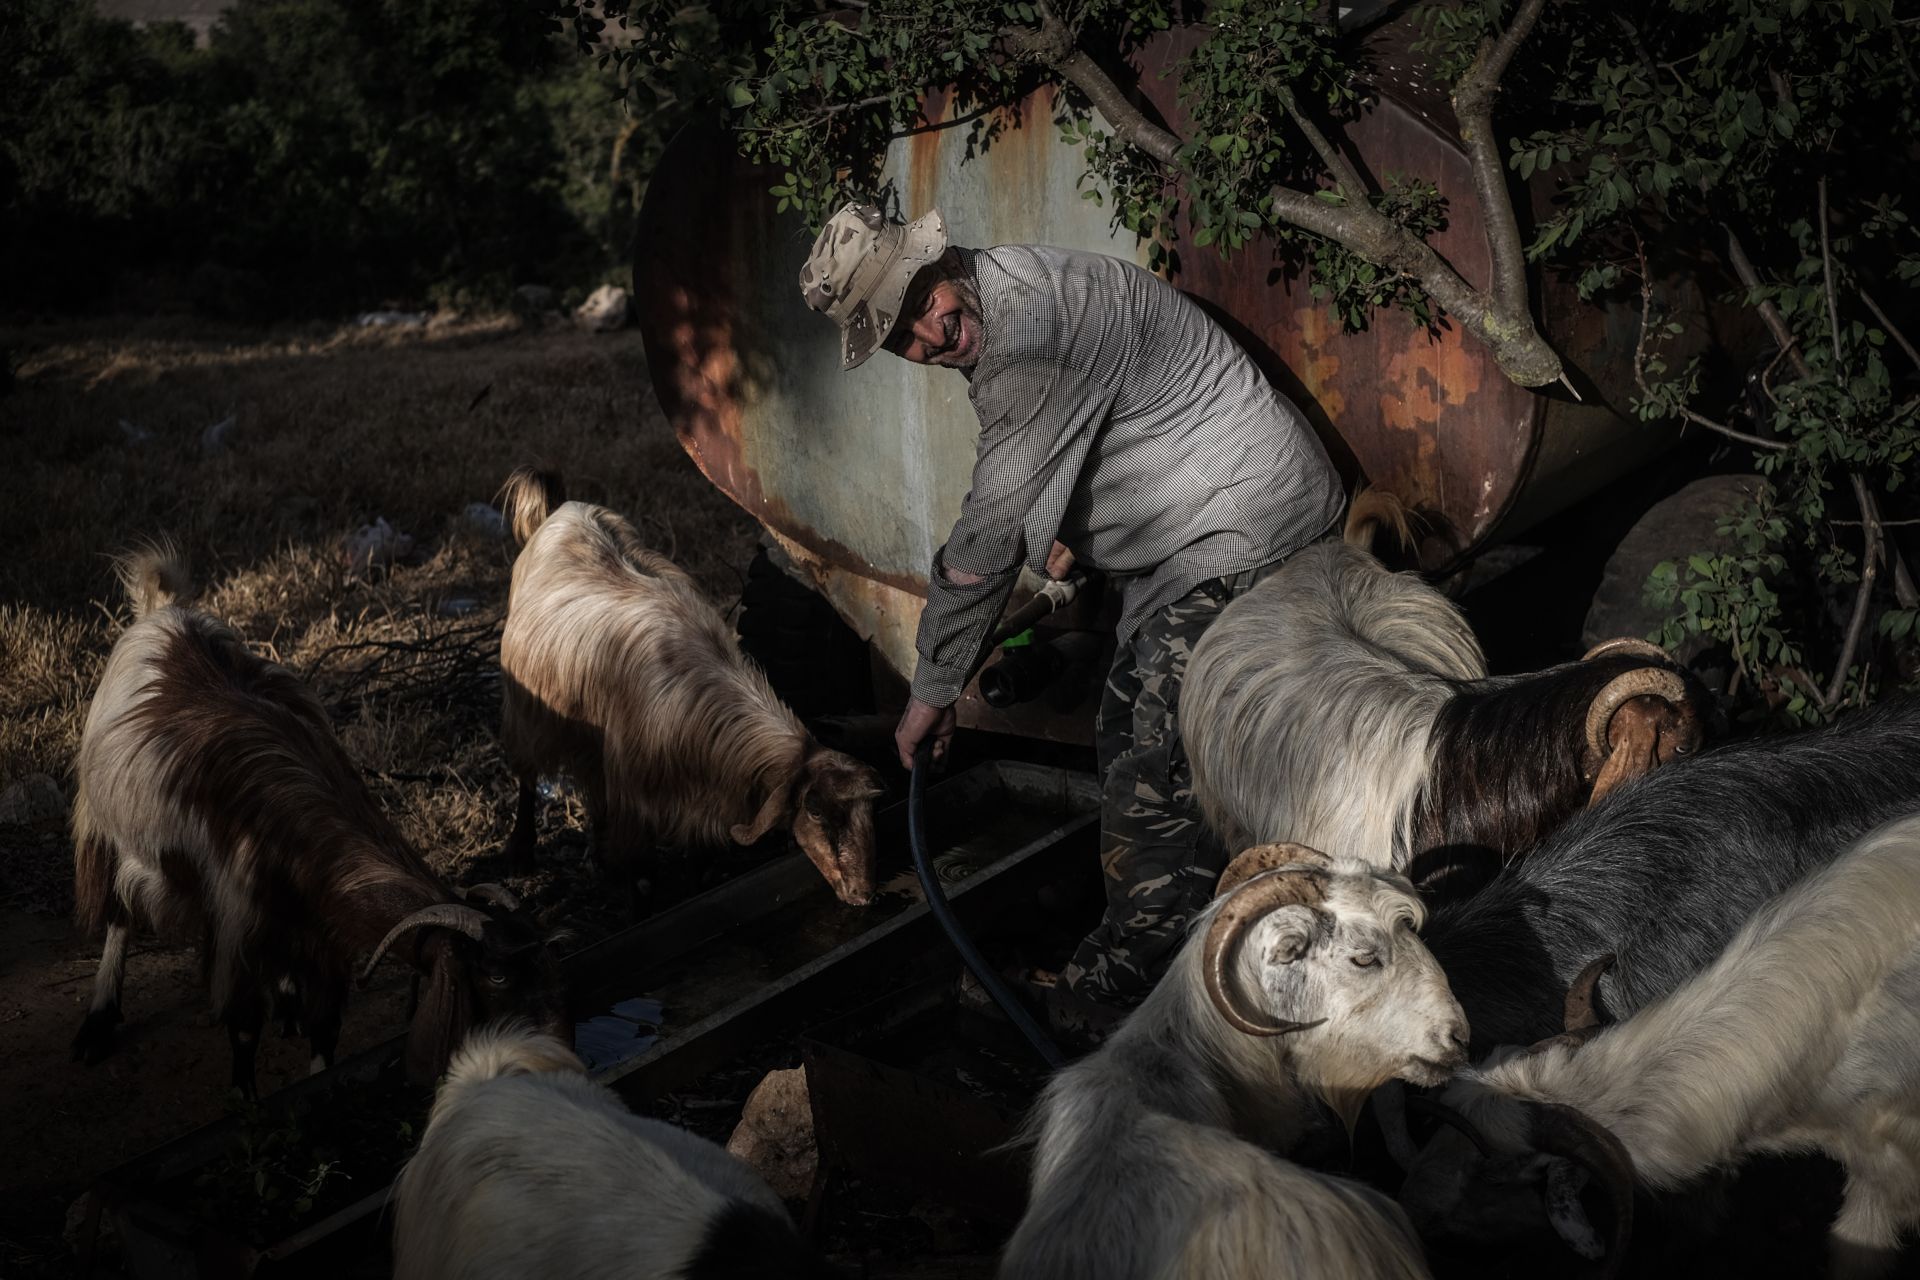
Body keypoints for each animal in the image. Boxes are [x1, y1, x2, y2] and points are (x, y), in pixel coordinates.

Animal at [71, 545, 564, 1097]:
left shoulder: (320, 928)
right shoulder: (240, 928)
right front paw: (247, 1098)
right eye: (497, 977)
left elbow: (325, 1026)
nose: (553, 1049)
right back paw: (97, 1024)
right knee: (117, 915)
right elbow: (244, 1030)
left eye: (546, 964)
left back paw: (285, 1002)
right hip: (108, 829)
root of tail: (163, 613)